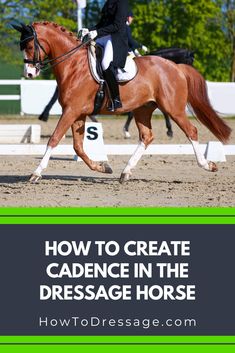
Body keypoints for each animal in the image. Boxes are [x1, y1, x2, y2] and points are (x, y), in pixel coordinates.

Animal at [11, 21, 230, 183]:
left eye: (29, 46)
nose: (29, 73)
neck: (74, 65)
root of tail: (176, 67)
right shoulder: (77, 113)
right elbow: (78, 147)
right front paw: (102, 167)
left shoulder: (71, 111)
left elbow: (54, 139)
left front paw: (36, 173)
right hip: (143, 109)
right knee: (147, 136)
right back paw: (125, 172)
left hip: (173, 108)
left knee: (191, 131)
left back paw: (207, 165)